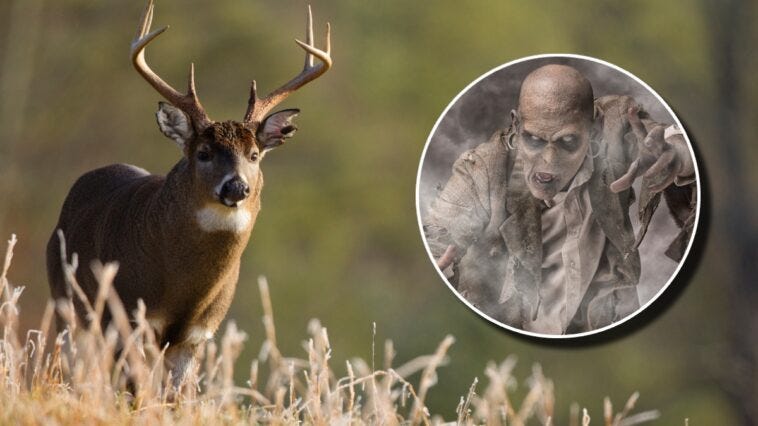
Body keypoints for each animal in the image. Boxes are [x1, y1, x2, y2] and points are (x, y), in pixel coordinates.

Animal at [45, 0, 331, 386]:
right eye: (204, 153)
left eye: (254, 155)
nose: (236, 186)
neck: (182, 290)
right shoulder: (128, 318)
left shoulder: (197, 335)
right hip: (68, 305)